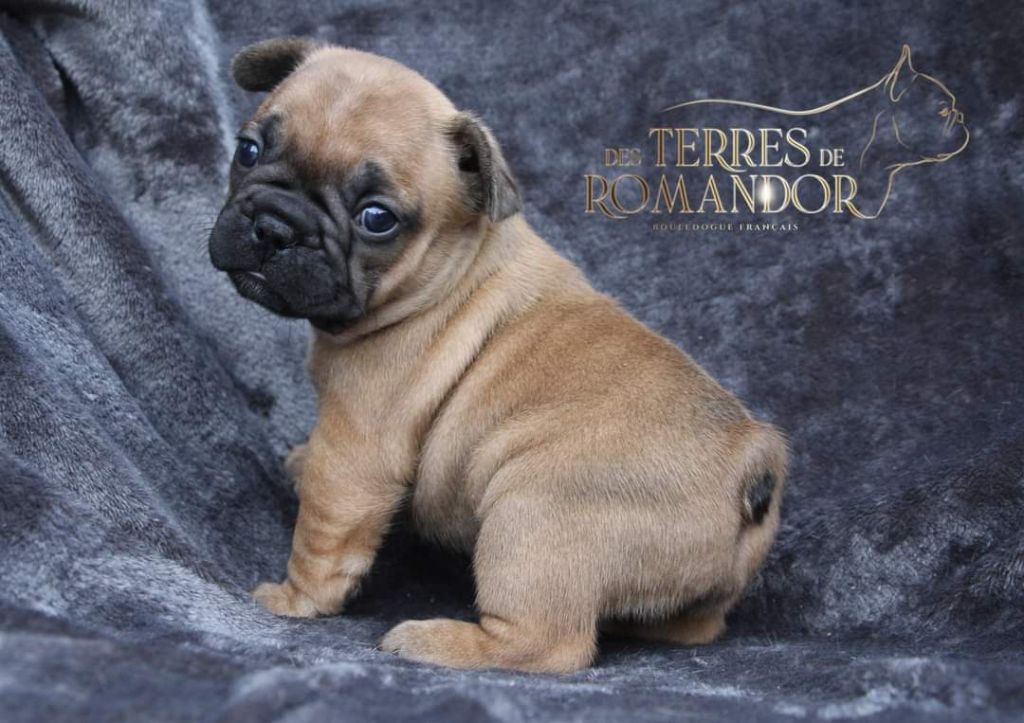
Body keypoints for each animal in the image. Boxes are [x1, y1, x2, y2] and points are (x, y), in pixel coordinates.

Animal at [208, 37, 788, 673]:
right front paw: (298, 461)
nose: (274, 226)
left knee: (547, 642)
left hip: (531, 516)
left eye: (377, 219)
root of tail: (752, 460)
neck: (446, 270)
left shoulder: (355, 452)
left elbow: (321, 533)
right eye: (248, 150)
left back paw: (436, 640)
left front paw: (292, 600)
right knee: (690, 626)